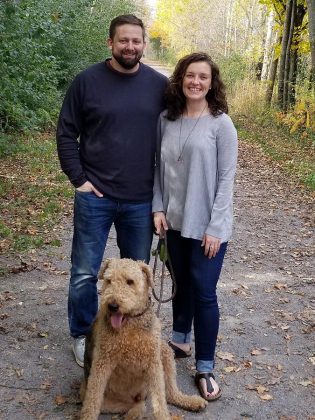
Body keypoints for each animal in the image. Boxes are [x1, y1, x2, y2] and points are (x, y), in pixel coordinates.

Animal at [79, 260, 207, 420]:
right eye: (109, 280)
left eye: (130, 281)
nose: (112, 306)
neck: (131, 323)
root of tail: (138, 396)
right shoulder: (102, 362)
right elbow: (93, 400)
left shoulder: (153, 362)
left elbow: (160, 401)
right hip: (106, 401)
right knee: (137, 405)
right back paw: (134, 413)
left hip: (164, 352)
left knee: (170, 393)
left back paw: (191, 401)